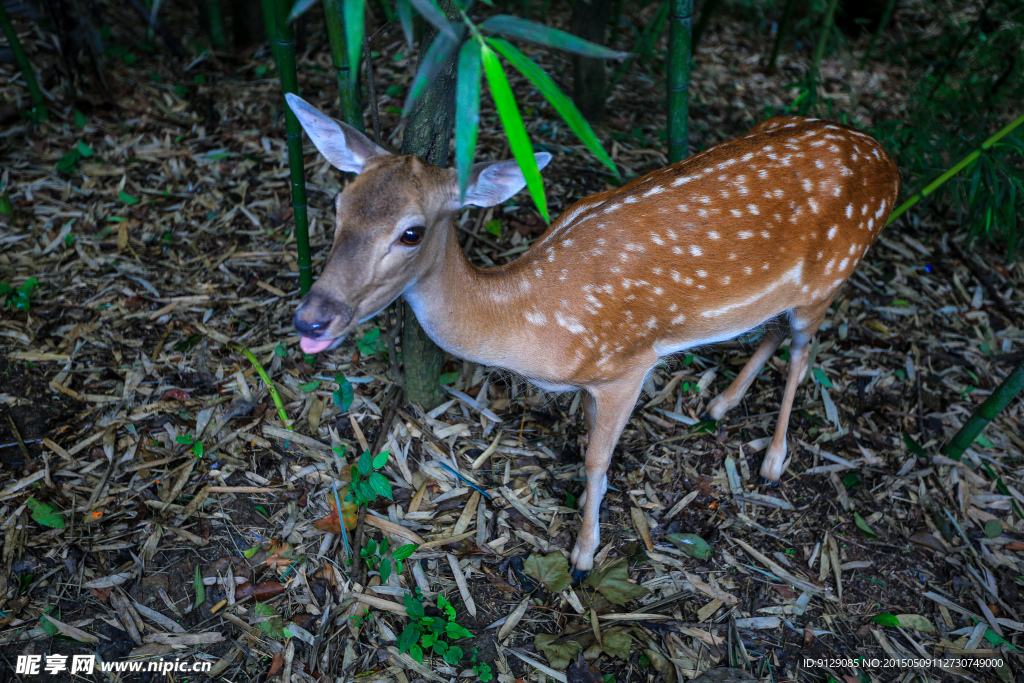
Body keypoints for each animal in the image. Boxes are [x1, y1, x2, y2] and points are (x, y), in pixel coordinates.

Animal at [284, 93, 901, 573]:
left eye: (410, 232)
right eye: (338, 205)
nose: (311, 317)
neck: (533, 321)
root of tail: (887, 160)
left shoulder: (628, 365)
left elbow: (597, 461)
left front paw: (584, 554)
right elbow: (586, 444)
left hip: (835, 269)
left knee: (802, 351)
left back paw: (772, 461)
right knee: (772, 328)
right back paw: (721, 404)